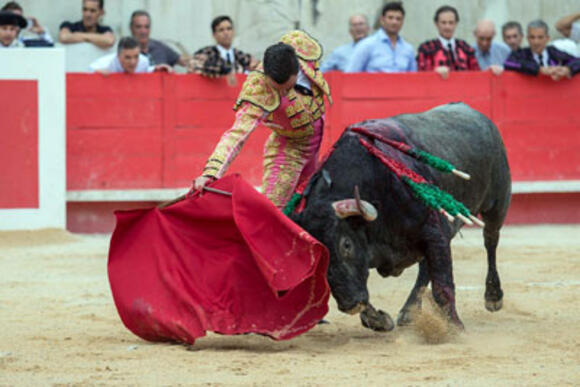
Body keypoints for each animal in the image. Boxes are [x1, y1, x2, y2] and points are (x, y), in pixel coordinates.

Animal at [294, 103, 512, 330]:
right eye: (318, 256)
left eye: (346, 245)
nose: (349, 304)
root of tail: (475, 112)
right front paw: (378, 319)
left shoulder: (433, 231)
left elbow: (442, 286)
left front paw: (454, 327)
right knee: (426, 268)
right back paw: (409, 311)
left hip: (497, 205)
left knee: (490, 242)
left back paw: (493, 297)